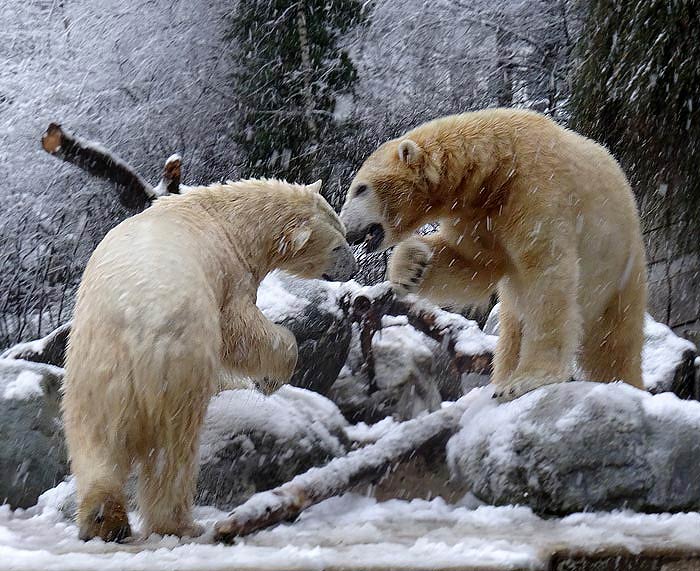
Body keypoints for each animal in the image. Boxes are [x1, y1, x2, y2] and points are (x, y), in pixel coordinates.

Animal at [61, 178, 356, 540]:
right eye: (337, 247)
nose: (355, 266)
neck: (228, 220)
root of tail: (135, 326)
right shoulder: (229, 273)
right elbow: (239, 330)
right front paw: (270, 377)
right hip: (178, 362)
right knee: (174, 447)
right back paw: (178, 523)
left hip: (92, 370)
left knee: (95, 441)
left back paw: (103, 517)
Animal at [340, 107, 644, 402]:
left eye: (361, 188)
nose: (345, 227)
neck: (496, 166)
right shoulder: (476, 214)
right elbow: (474, 264)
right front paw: (411, 268)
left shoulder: (536, 190)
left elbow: (546, 274)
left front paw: (528, 380)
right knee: (512, 327)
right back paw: (499, 380)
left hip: (621, 268)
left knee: (614, 342)